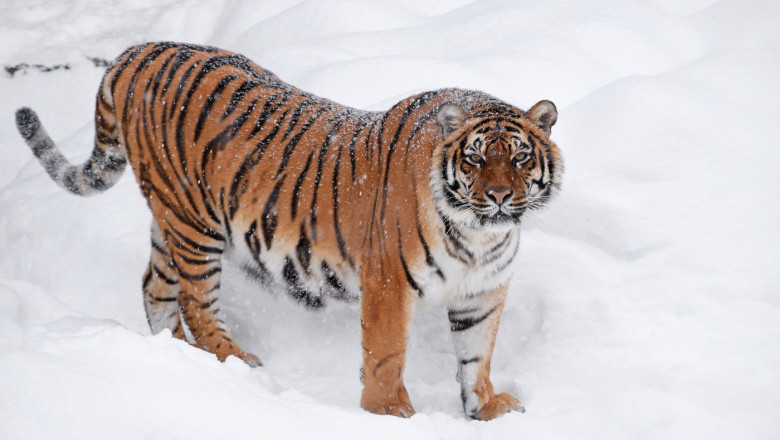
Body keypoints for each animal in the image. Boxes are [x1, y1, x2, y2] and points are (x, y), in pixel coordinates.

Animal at [15, 42, 563, 420]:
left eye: (518, 158)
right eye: (474, 160)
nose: (498, 196)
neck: (479, 236)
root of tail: (140, 50)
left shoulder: (483, 290)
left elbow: (477, 355)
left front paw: (486, 408)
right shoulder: (388, 283)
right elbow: (386, 353)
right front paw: (390, 413)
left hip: (169, 218)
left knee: (155, 286)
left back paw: (175, 356)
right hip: (195, 224)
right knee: (196, 300)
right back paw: (234, 362)